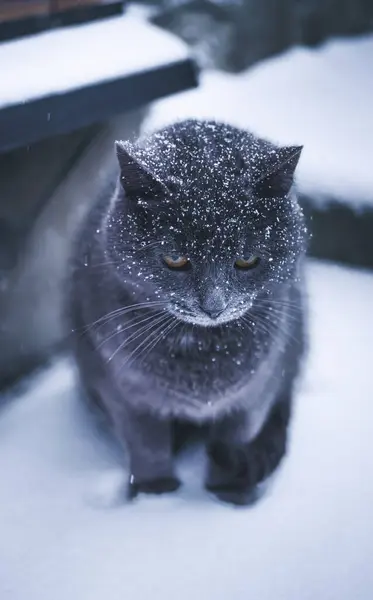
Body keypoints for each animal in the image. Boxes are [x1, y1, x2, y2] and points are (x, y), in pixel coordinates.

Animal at [68, 120, 306, 506]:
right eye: (175, 259)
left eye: (247, 259)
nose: (214, 305)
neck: (202, 349)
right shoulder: (123, 390)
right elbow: (146, 445)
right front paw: (155, 494)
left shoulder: (256, 392)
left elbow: (235, 438)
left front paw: (227, 494)